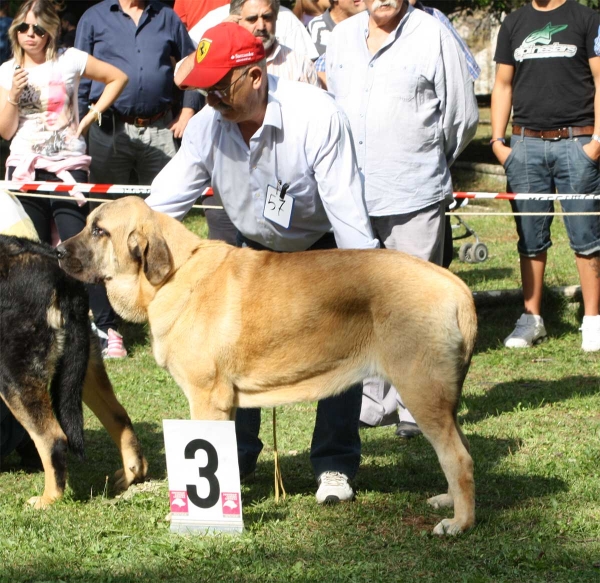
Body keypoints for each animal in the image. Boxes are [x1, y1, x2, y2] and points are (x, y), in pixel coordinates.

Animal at [0, 235, 147, 508]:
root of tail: (62, 278)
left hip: (13, 376)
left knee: (53, 439)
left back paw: (48, 499)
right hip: (82, 368)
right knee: (119, 416)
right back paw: (132, 472)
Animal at [57, 198, 478, 536]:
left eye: (99, 230)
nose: (58, 251)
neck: (172, 275)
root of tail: (454, 284)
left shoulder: (205, 399)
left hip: (421, 391)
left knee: (458, 458)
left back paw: (458, 523)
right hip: (441, 398)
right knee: (459, 453)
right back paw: (447, 501)